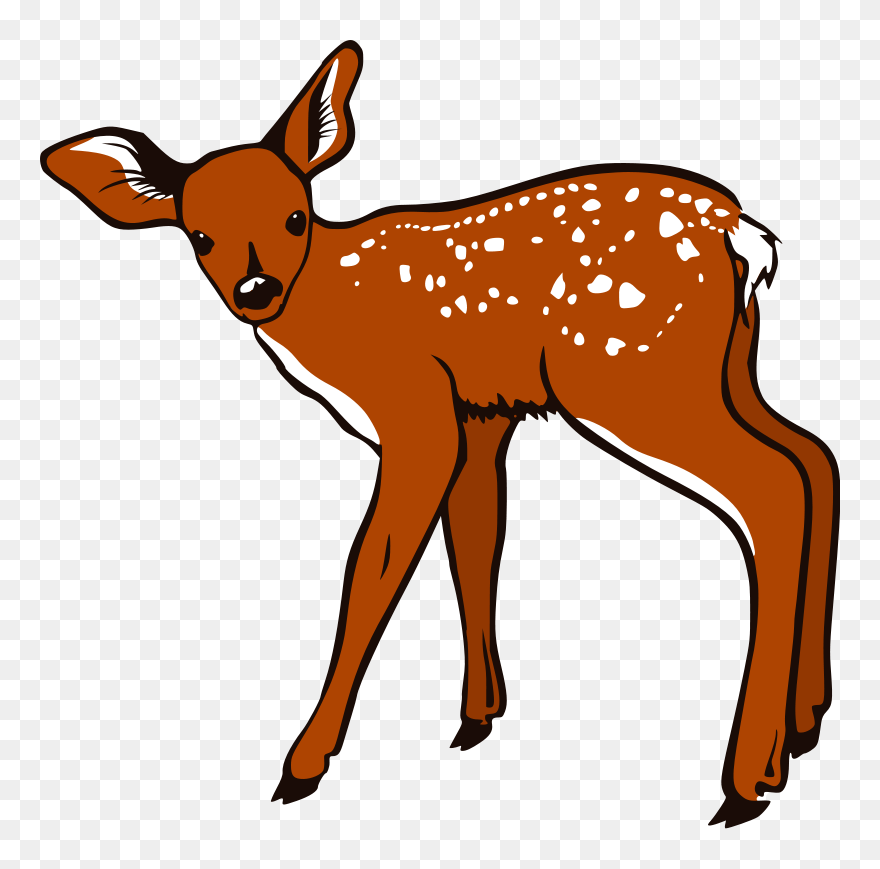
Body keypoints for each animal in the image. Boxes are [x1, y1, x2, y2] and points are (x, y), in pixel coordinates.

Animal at [40, 41, 840, 827]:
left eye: (297, 216)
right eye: (200, 235)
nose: (256, 290)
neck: (332, 307)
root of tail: (741, 233)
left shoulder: (416, 410)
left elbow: (371, 568)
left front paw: (302, 765)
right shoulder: (480, 417)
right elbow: (476, 542)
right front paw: (477, 716)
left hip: (629, 375)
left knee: (772, 486)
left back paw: (747, 780)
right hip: (726, 369)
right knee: (814, 456)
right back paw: (805, 724)